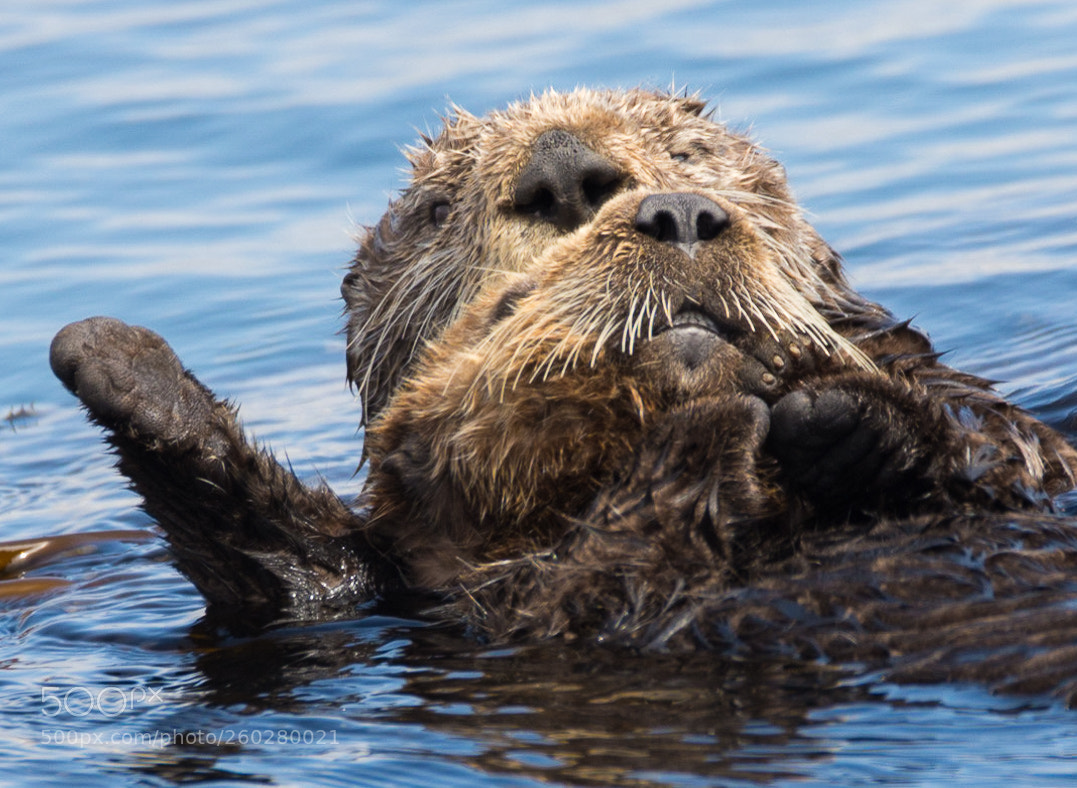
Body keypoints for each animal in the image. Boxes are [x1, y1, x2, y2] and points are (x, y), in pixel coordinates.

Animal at [49, 88, 1077, 701]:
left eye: (687, 153)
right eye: (437, 209)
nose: (567, 176)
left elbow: (1000, 439)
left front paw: (846, 414)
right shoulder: (463, 595)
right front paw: (119, 364)